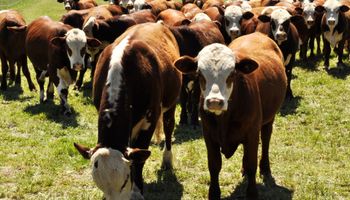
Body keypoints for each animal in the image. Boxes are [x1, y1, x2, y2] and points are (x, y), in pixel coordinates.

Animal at [74, 22, 183, 199]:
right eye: (99, 185)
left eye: (125, 181)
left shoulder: (149, 121)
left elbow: (139, 159)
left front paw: (137, 190)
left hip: (171, 103)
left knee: (168, 127)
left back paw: (167, 160)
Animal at [174, 31, 288, 200]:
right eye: (199, 74)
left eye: (232, 73)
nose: (215, 102)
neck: (224, 119)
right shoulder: (209, 135)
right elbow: (214, 165)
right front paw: (214, 193)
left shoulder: (252, 133)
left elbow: (252, 164)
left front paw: (252, 193)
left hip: (269, 119)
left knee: (266, 140)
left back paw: (265, 168)